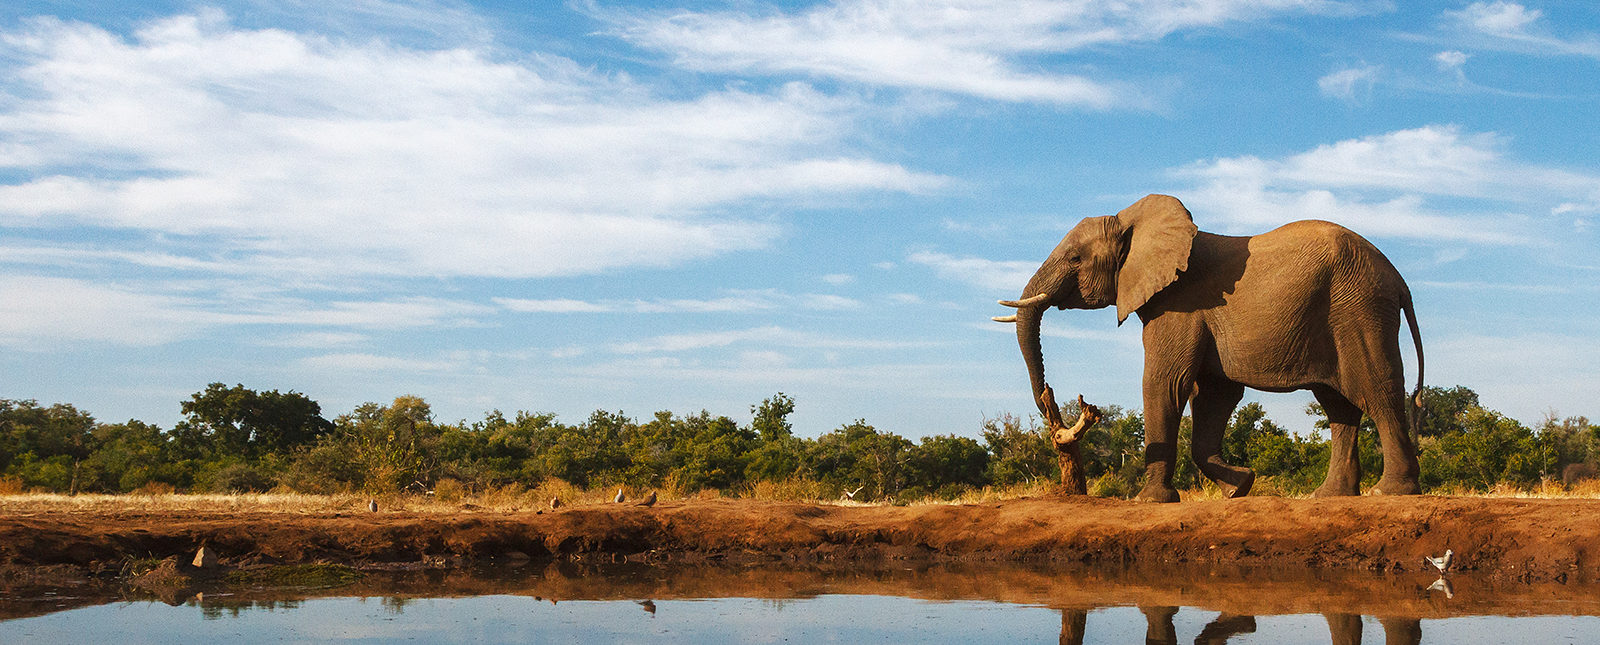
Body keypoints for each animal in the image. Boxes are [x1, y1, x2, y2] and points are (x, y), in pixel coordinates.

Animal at [998, 194, 1427, 502]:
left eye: (1075, 258)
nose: (1049, 401)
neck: (1131, 221)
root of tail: (1399, 279)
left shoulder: (1179, 304)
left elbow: (1165, 383)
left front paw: (1149, 501)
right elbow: (1214, 395)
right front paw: (1240, 487)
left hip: (1358, 310)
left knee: (1376, 390)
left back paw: (1389, 492)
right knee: (1339, 405)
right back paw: (1329, 496)